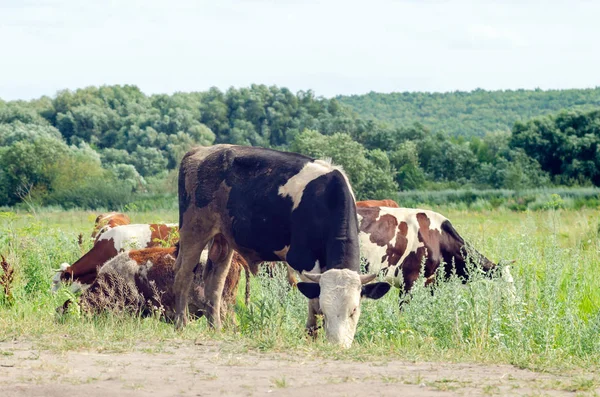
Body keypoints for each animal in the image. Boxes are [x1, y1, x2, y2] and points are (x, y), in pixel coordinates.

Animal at [171, 145, 392, 346]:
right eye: (326, 310)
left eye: (354, 310)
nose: (338, 345)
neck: (327, 198)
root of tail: (200, 151)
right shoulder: (302, 258)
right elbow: (313, 301)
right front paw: (311, 335)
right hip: (194, 230)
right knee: (183, 275)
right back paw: (181, 324)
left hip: (222, 239)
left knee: (215, 281)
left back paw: (215, 327)